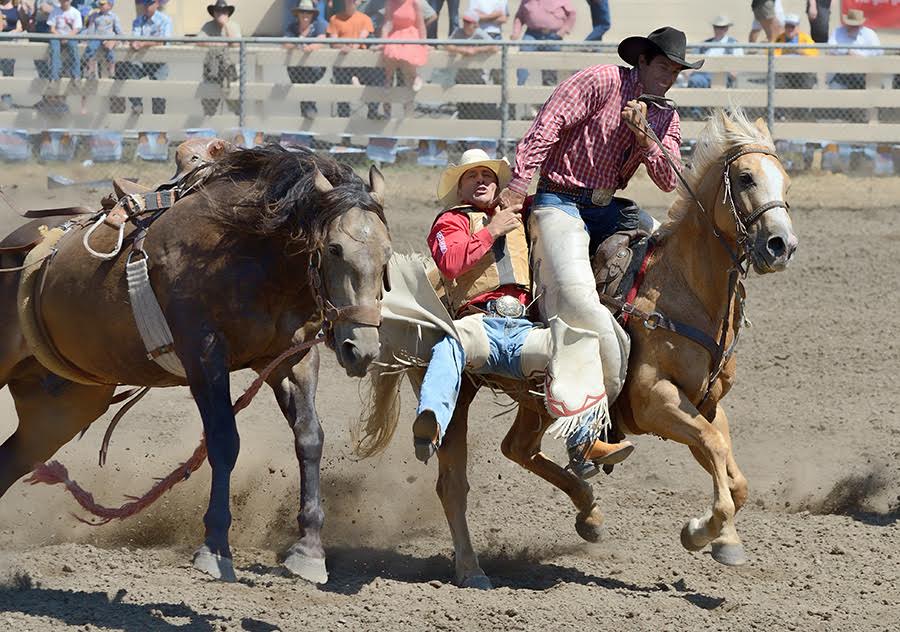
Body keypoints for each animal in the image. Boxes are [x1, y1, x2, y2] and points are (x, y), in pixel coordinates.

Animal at [0, 144, 394, 584]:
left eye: (387, 254)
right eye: (334, 249)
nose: (360, 349)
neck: (245, 253)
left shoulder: (294, 357)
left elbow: (310, 437)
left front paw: (308, 550)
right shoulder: (204, 356)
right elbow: (224, 441)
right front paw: (215, 547)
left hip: (63, 406)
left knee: (10, 460)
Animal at [356, 110, 800, 588]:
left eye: (786, 181)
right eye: (745, 177)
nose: (781, 246)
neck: (681, 289)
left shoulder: (709, 404)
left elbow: (734, 476)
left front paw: (718, 535)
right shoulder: (655, 401)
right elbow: (715, 447)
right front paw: (708, 534)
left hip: (534, 396)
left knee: (518, 448)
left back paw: (589, 511)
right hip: (460, 394)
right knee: (453, 482)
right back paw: (472, 568)